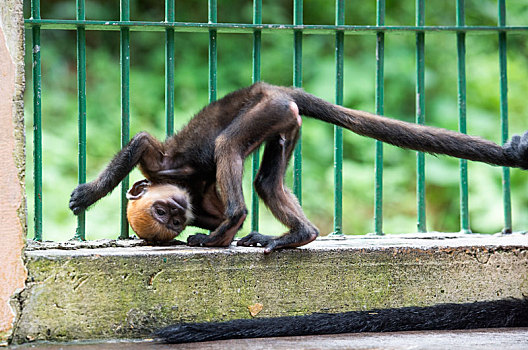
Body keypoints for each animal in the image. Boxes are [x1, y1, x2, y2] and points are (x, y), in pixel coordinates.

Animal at [69, 82, 528, 252]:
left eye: (166, 211)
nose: (177, 215)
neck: (188, 195)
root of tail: (273, 89)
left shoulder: (162, 168)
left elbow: (141, 144)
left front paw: (89, 194)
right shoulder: (199, 206)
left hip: (267, 108)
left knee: (228, 145)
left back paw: (235, 221)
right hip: (284, 120)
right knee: (266, 182)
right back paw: (299, 234)